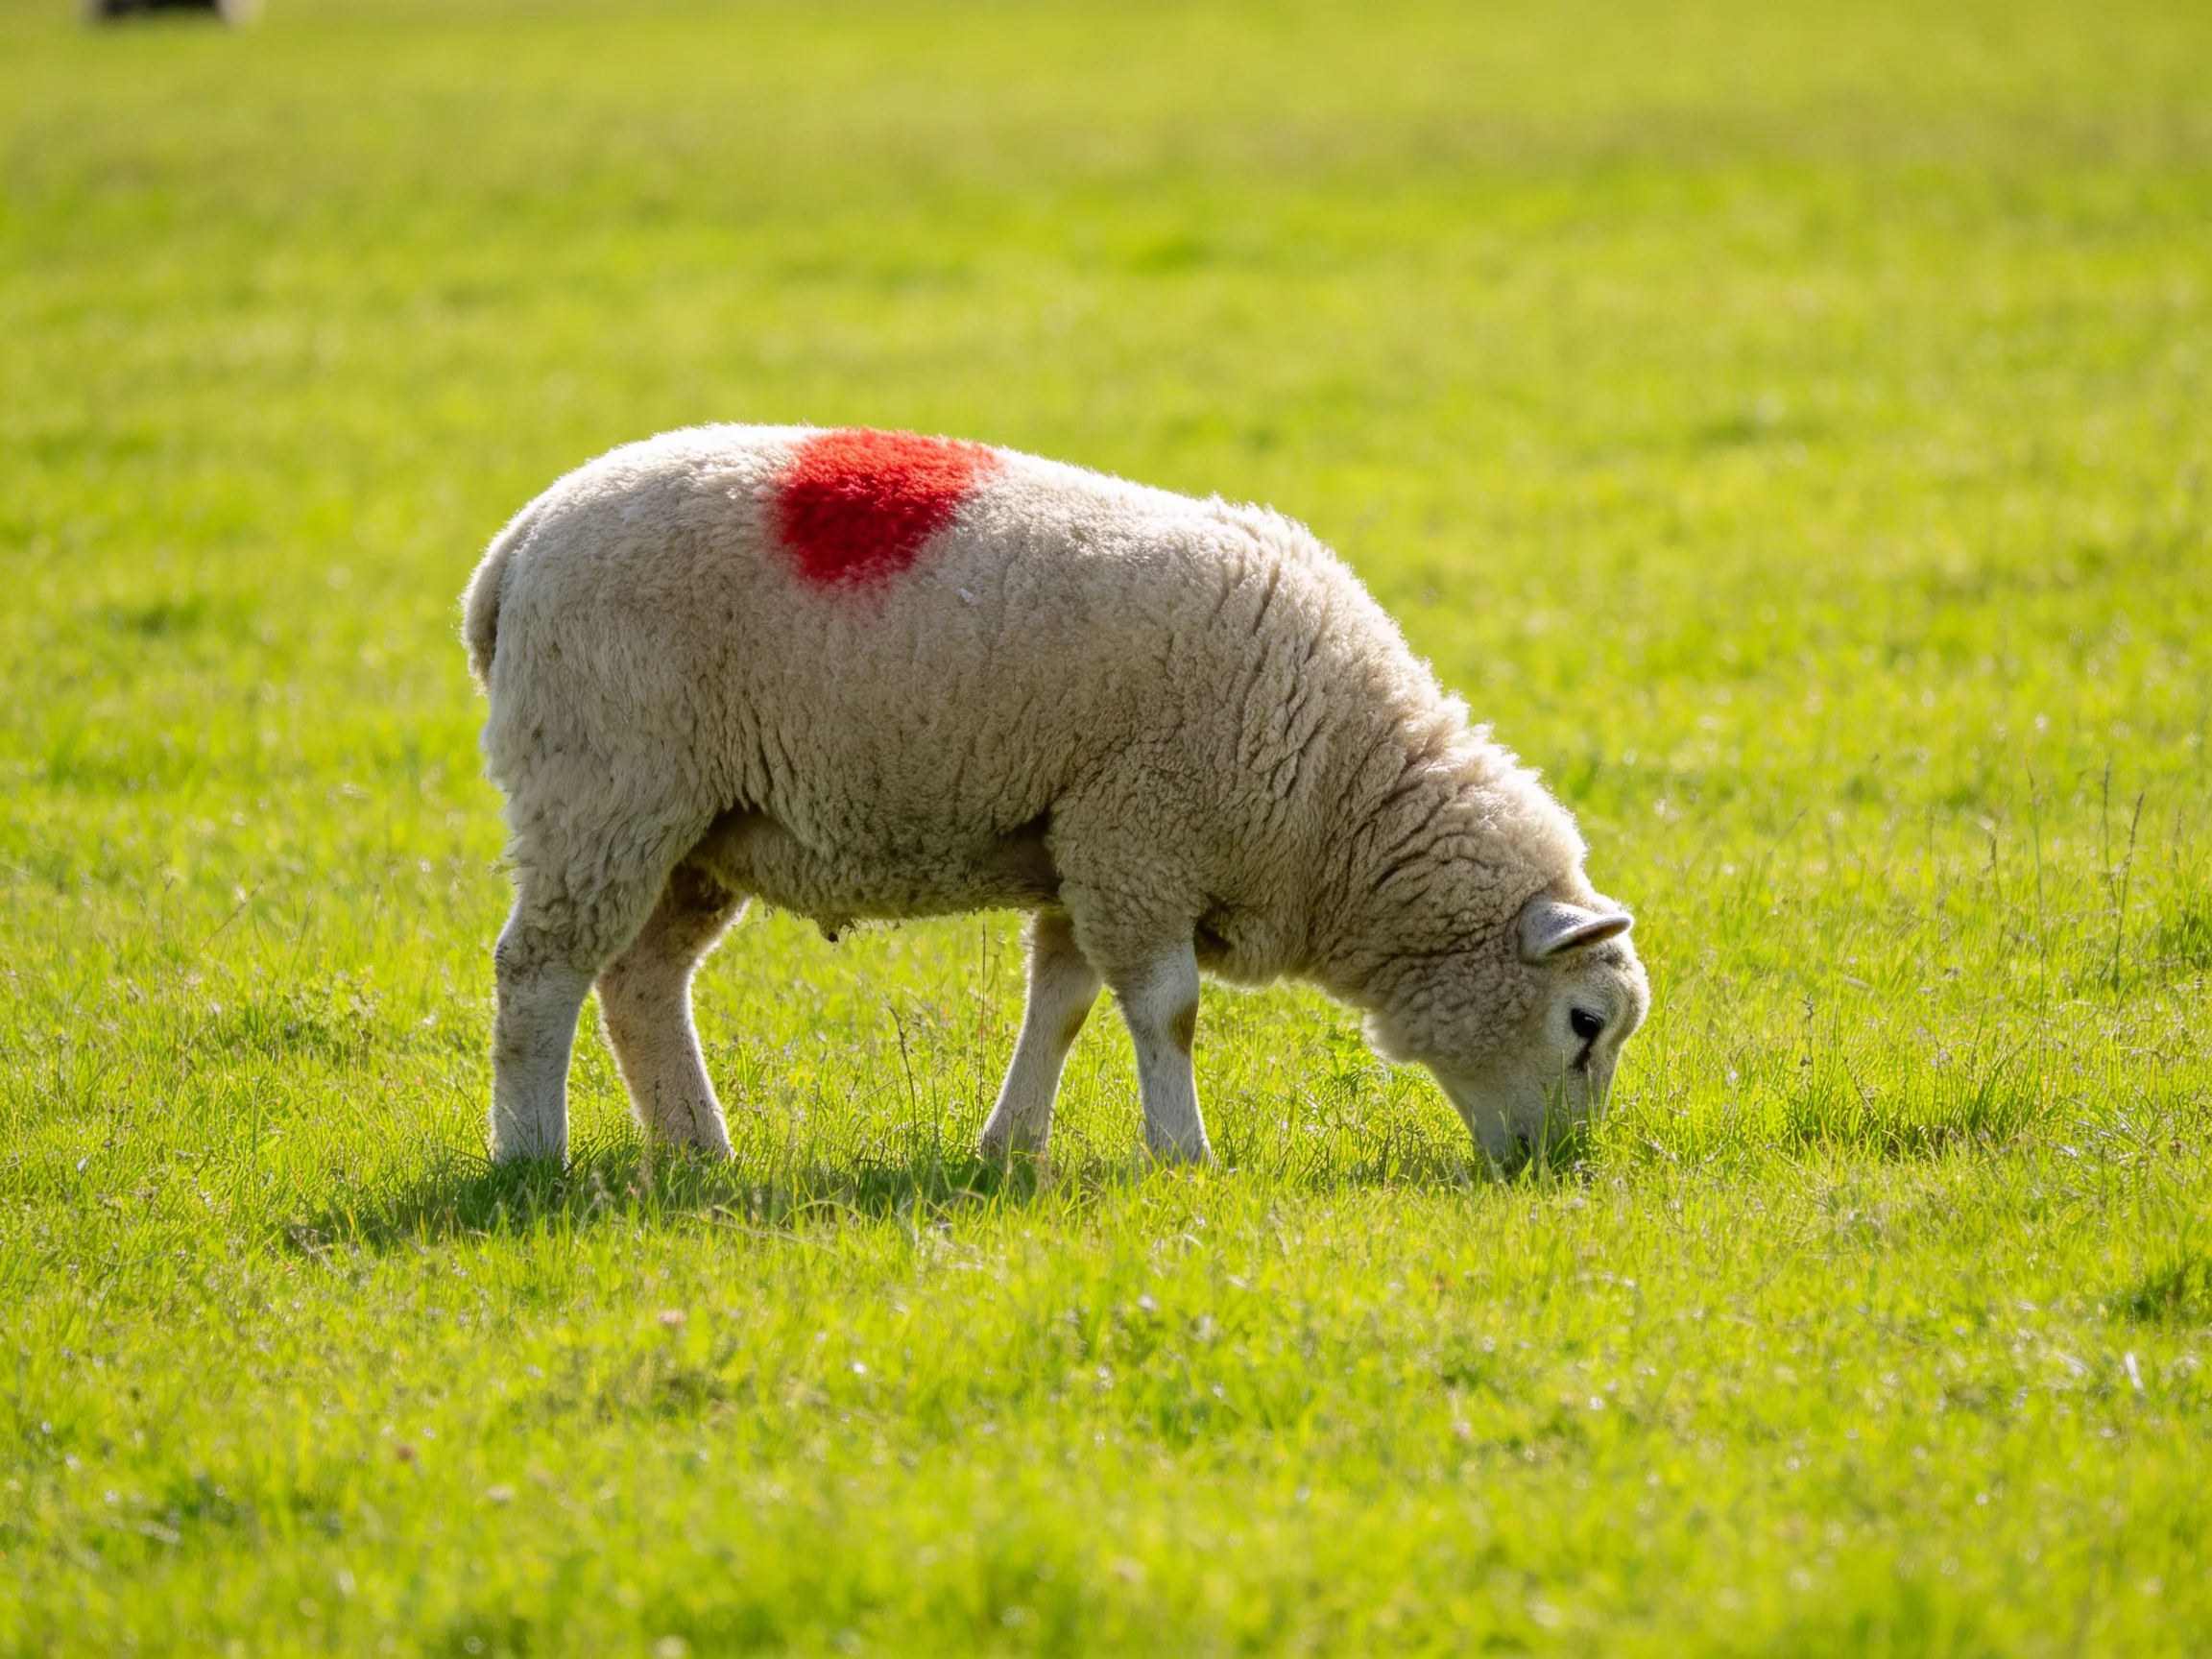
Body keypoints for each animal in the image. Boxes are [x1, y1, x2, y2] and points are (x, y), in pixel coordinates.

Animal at [462, 425, 1648, 1168]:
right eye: (1584, 1023)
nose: (1558, 1169)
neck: (1337, 787)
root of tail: (513, 551)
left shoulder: (1088, 846)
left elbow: (1066, 1006)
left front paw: (1010, 1150)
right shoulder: (1141, 837)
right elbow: (1169, 1012)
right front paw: (1185, 1156)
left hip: (698, 828)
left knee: (642, 983)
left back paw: (699, 1151)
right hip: (605, 787)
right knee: (540, 972)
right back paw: (531, 1155)